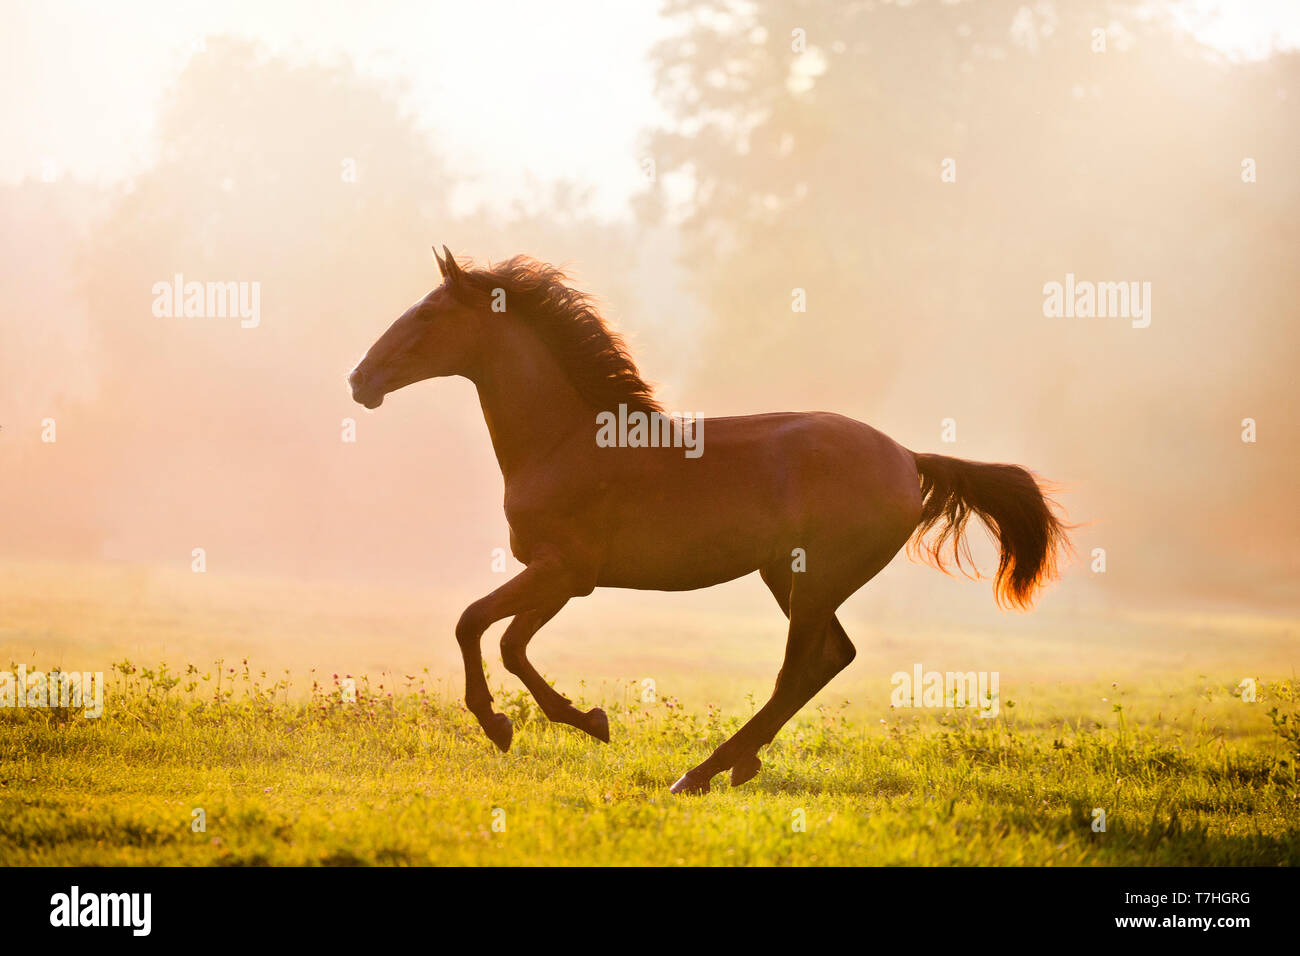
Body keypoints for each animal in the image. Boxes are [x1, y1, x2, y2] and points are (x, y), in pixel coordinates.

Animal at [349, 246, 1071, 794]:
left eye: (429, 315)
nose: (360, 381)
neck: (564, 442)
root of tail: (908, 457)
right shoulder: (561, 579)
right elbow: (504, 640)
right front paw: (575, 720)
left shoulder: (564, 571)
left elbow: (479, 627)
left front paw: (524, 724)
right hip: (790, 578)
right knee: (831, 658)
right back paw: (737, 764)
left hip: (813, 582)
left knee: (798, 670)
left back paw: (701, 773)